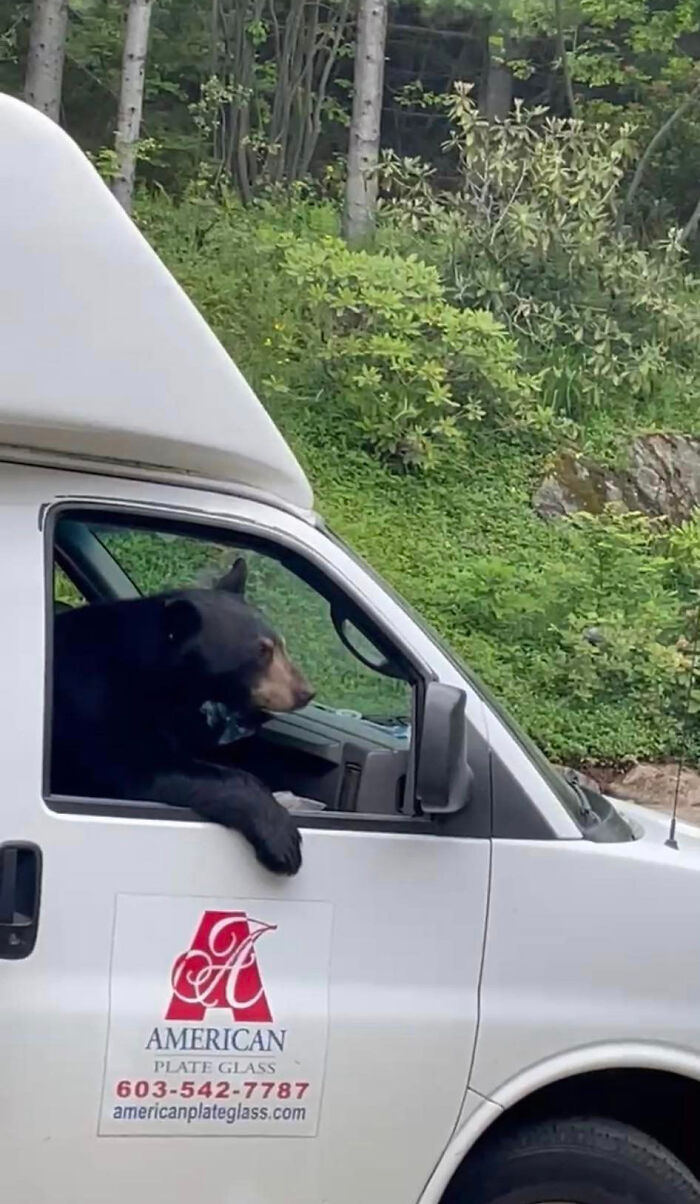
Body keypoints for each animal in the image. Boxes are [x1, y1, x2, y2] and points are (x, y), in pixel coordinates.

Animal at [51, 557, 313, 875]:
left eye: (280, 645)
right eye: (261, 652)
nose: (305, 691)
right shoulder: (92, 704)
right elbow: (139, 767)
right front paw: (283, 840)